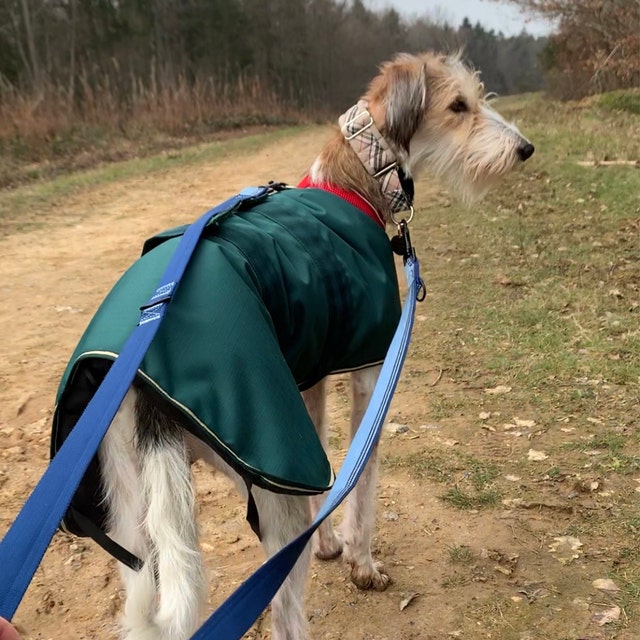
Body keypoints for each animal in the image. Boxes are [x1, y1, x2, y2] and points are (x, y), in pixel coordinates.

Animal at [50, 51, 532, 640]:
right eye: (459, 106)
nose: (525, 148)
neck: (352, 183)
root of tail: (145, 369)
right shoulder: (369, 373)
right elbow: (361, 484)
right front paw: (361, 562)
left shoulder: (308, 381)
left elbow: (327, 473)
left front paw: (328, 544)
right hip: (266, 472)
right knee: (282, 610)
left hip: (137, 509)